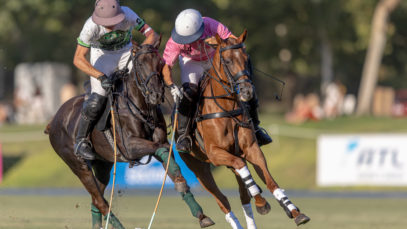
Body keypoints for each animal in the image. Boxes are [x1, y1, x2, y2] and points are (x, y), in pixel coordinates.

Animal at [45, 40, 214, 228]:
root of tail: (53, 120)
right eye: (140, 64)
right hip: (78, 164)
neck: (141, 107)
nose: (156, 94)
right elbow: (159, 149)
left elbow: (171, 164)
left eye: (161, 63)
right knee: (99, 200)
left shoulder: (161, 142)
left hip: (103, 164)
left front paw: (200, 214)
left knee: (97, 199)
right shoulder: (130, 147)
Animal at [178, 30, 310, 229]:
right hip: (199, 167)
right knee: (223, 200)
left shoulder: (251, 149)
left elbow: (270, 182)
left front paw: (294, 212)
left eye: (247, 58)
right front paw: (262, 203)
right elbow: (243, 173)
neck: (227, 107)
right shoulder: (215, 153)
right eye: (227, 61)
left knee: (243, 194)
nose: (248, 92)